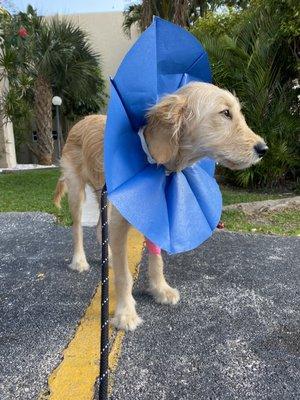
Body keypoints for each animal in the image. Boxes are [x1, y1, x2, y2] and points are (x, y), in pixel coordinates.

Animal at [53, 82, 268, 332]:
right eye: (225, 113)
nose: (263, 149)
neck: (151, 157)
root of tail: (81, 120)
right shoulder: (120, 219)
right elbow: (124, 275)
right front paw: (125, 313)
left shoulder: (153, 211)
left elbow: (156, 260)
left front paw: (160, 289)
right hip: (77, 190)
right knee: (77, 227)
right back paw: (79, 260)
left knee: (99, 228)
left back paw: (108, 255)